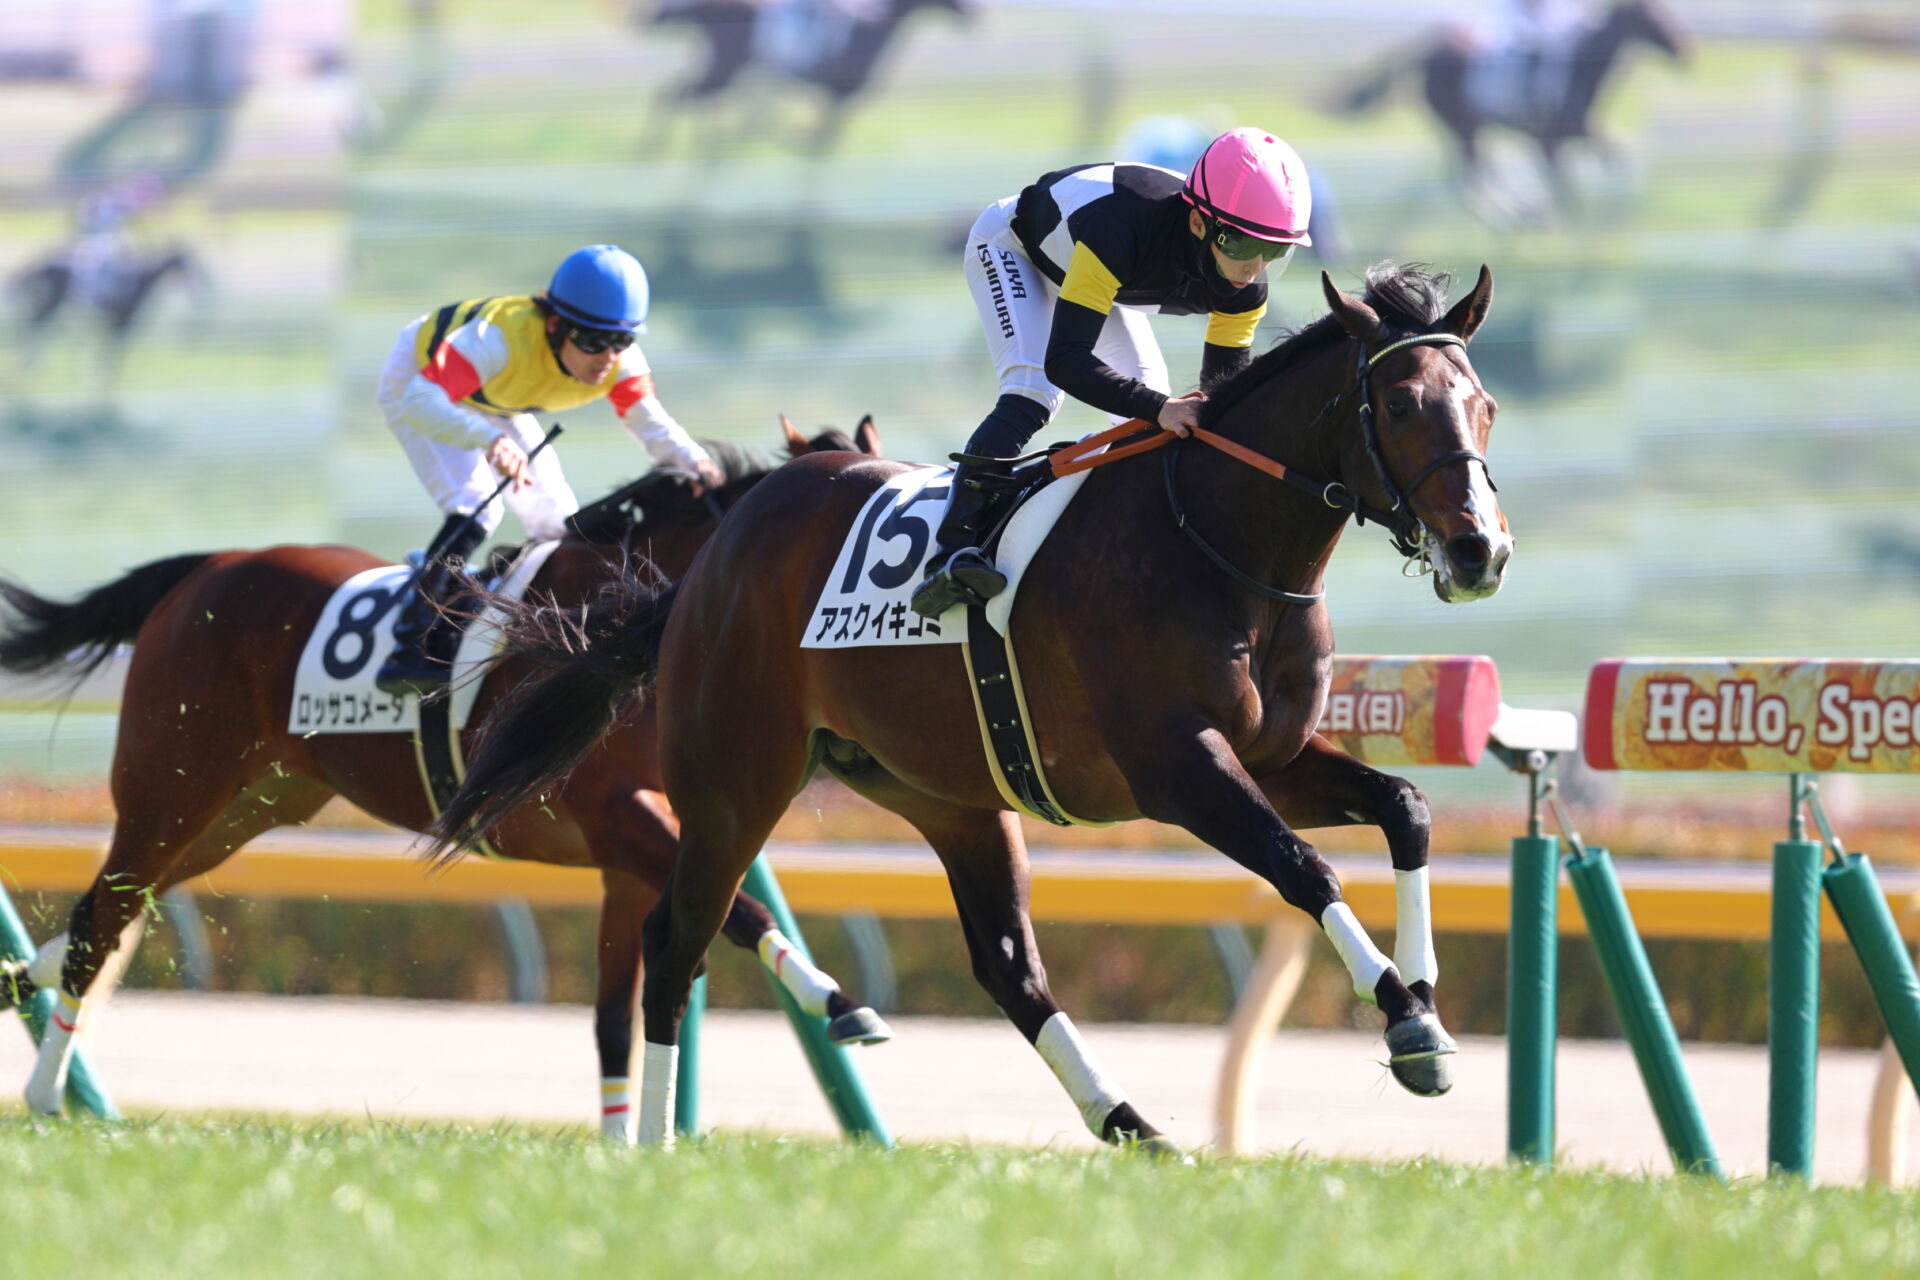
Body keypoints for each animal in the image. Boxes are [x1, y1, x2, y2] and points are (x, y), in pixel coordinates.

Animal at [0, 419, 884, 1140]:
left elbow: (615, 1011)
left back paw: (21, 983)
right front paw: (837, 1000)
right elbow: (740, 910)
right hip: (170, 788)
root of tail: (208, 568)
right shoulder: (616, 817)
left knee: (120, 908)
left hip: (247, 808)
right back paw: (45, 1095)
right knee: (104, 915)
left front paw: (618, 1149)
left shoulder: (630, 854)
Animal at [431, 263, 1511, 1151]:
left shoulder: (1271, 753)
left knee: (1007, 968)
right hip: (736, 783)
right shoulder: (1177, 767)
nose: (1480, 551)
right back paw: (650, 1143)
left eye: (1486, 406)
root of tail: (716, 551)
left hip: (950, 797)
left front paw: (1420, 997)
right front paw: (1410, 1019)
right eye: (1402, 403)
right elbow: (1303, 864)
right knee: (675, 940)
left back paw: (1133, 1127)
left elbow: (1406, 806)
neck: (1216, 540)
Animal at [642, 0, 972, 155]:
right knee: (678, 93)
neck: (869, 27)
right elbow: (815, 140)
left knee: (684, 92)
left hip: (724, 67)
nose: (973, 15)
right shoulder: (837, 96)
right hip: (726, 67)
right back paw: (654, 149)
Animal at [1337, 1, 1688, 207]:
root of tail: (1425, 54)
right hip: (1462, 126)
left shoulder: (1570, 135)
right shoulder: (1553, 139)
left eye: (1667, 12)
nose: (1684, 49)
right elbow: (1573, 187)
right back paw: (1517, 216)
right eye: (1653, 15)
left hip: (1471, 128)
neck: (1579, 66)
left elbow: (1613, 162)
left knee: (1478, 171)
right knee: (1470, 175)